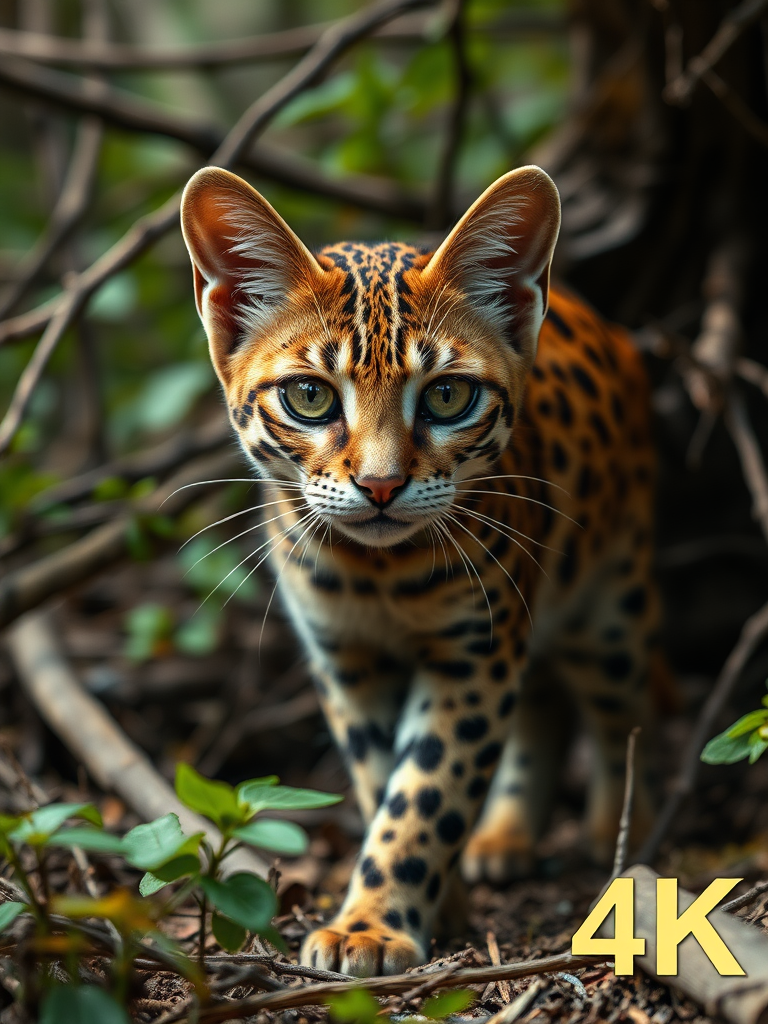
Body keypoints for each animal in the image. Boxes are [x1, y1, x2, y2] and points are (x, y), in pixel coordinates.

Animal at [179, 165, 663, 974]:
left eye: (447, 395)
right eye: (309, 397)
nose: (380, 486)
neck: (375, 573)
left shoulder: (473, 652)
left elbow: (428, 789)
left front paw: (370, 928)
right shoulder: (344, 657)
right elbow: (386, 780)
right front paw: (437, 905)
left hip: (612, 614)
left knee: (630, 710)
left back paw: (621, 836)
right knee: (545, 703)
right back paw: (503, 838)